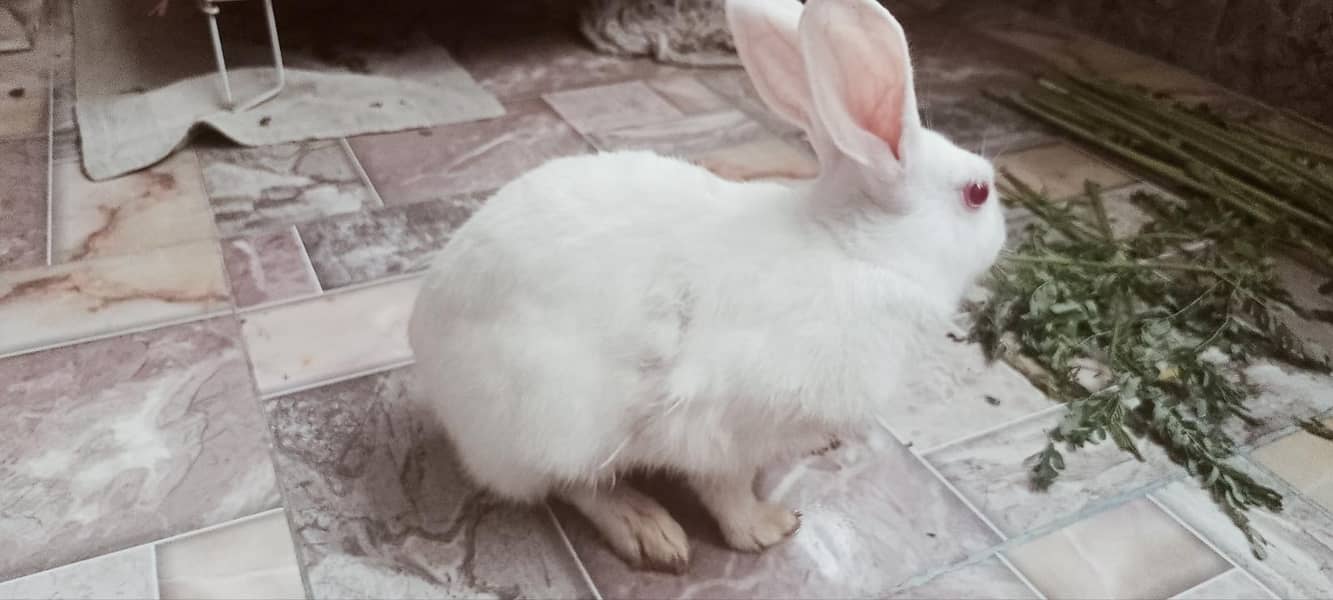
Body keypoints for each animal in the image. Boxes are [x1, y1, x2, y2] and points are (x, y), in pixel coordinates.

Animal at [407, 0, 1006, 573]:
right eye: (977, 193)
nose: (1003, 235)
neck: (857, 250)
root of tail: (424, 335)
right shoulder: (722, 426)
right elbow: (725, 489)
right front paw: (766, 528)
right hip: (553, 419)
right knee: (571, 483)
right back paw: (648, 529)